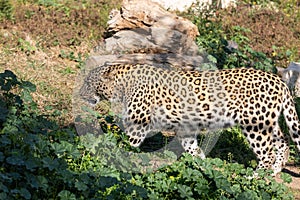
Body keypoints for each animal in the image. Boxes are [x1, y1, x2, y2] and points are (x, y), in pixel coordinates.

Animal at [79, 64, 300, 175]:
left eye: (89, 82)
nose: (80, 93)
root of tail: (279, 80)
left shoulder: (138, 123)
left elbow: (125, 144)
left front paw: (115, 157)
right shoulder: (185, 127)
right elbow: (192, 147)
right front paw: (201, 164)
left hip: (255, 125)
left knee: (267, 153)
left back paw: (256, 176)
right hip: (269, 122)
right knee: (283, 142)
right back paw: (275, 171)